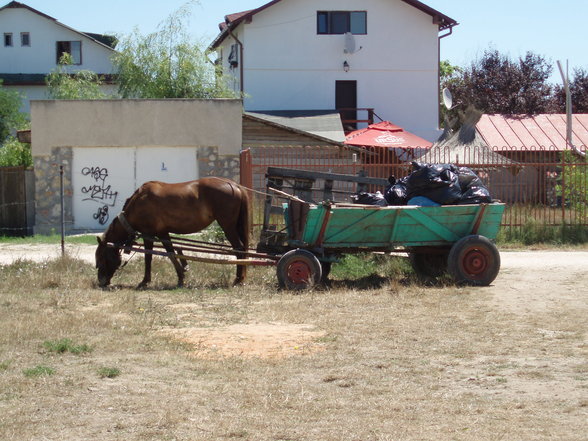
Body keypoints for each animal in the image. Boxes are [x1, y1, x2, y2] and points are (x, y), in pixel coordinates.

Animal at [97, 177, 249, 288]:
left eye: (101, 256)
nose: (101, 282)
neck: (140, 201)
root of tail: (234, 185)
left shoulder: (148, 234)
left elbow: (148, 257)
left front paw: (145, 281)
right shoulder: (163, 233)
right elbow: (171, 253)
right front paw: (181, 277)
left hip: (227, 226)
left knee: (239, 248)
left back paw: (237, 279)